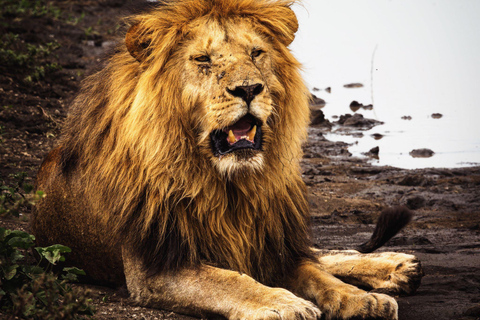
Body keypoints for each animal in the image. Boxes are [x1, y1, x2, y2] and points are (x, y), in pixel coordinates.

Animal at [30, 1, 422, 318]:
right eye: (203, 59)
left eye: (256, 53)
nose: (248, 89)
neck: (228, 182)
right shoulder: (155, 266)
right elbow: (230, 280)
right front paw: (283, 303)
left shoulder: (270, 246)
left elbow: (318, 275)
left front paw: (361, 299)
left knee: (314, 252)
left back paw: (396, 265)